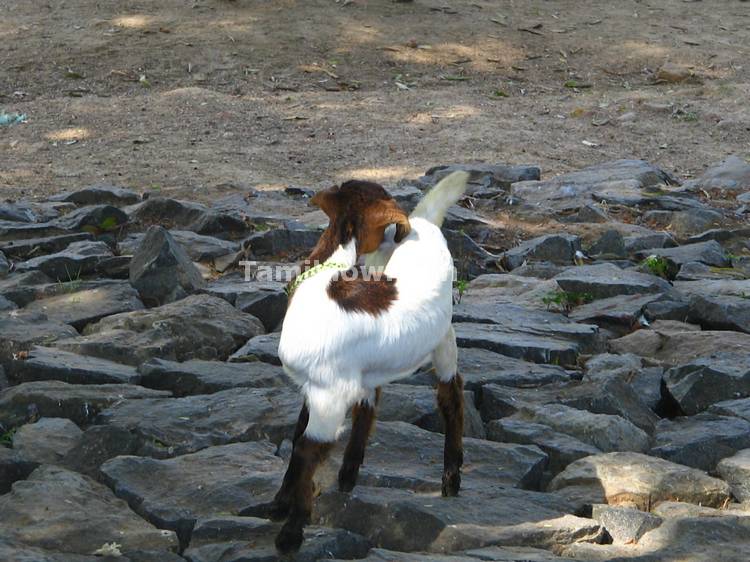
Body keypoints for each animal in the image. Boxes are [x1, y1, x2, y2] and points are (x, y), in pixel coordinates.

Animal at [250, 171, 470, 552]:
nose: (398, 234)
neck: (326, 281)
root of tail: (426, 224)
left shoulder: (329, 394)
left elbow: (307, 449)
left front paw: (292, 531)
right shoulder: (313, 388)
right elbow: (298, 438)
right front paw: (279, 506)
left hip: (444, 337)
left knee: (451, 396)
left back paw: (450, 477)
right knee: (371, 399)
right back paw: (349, 472)